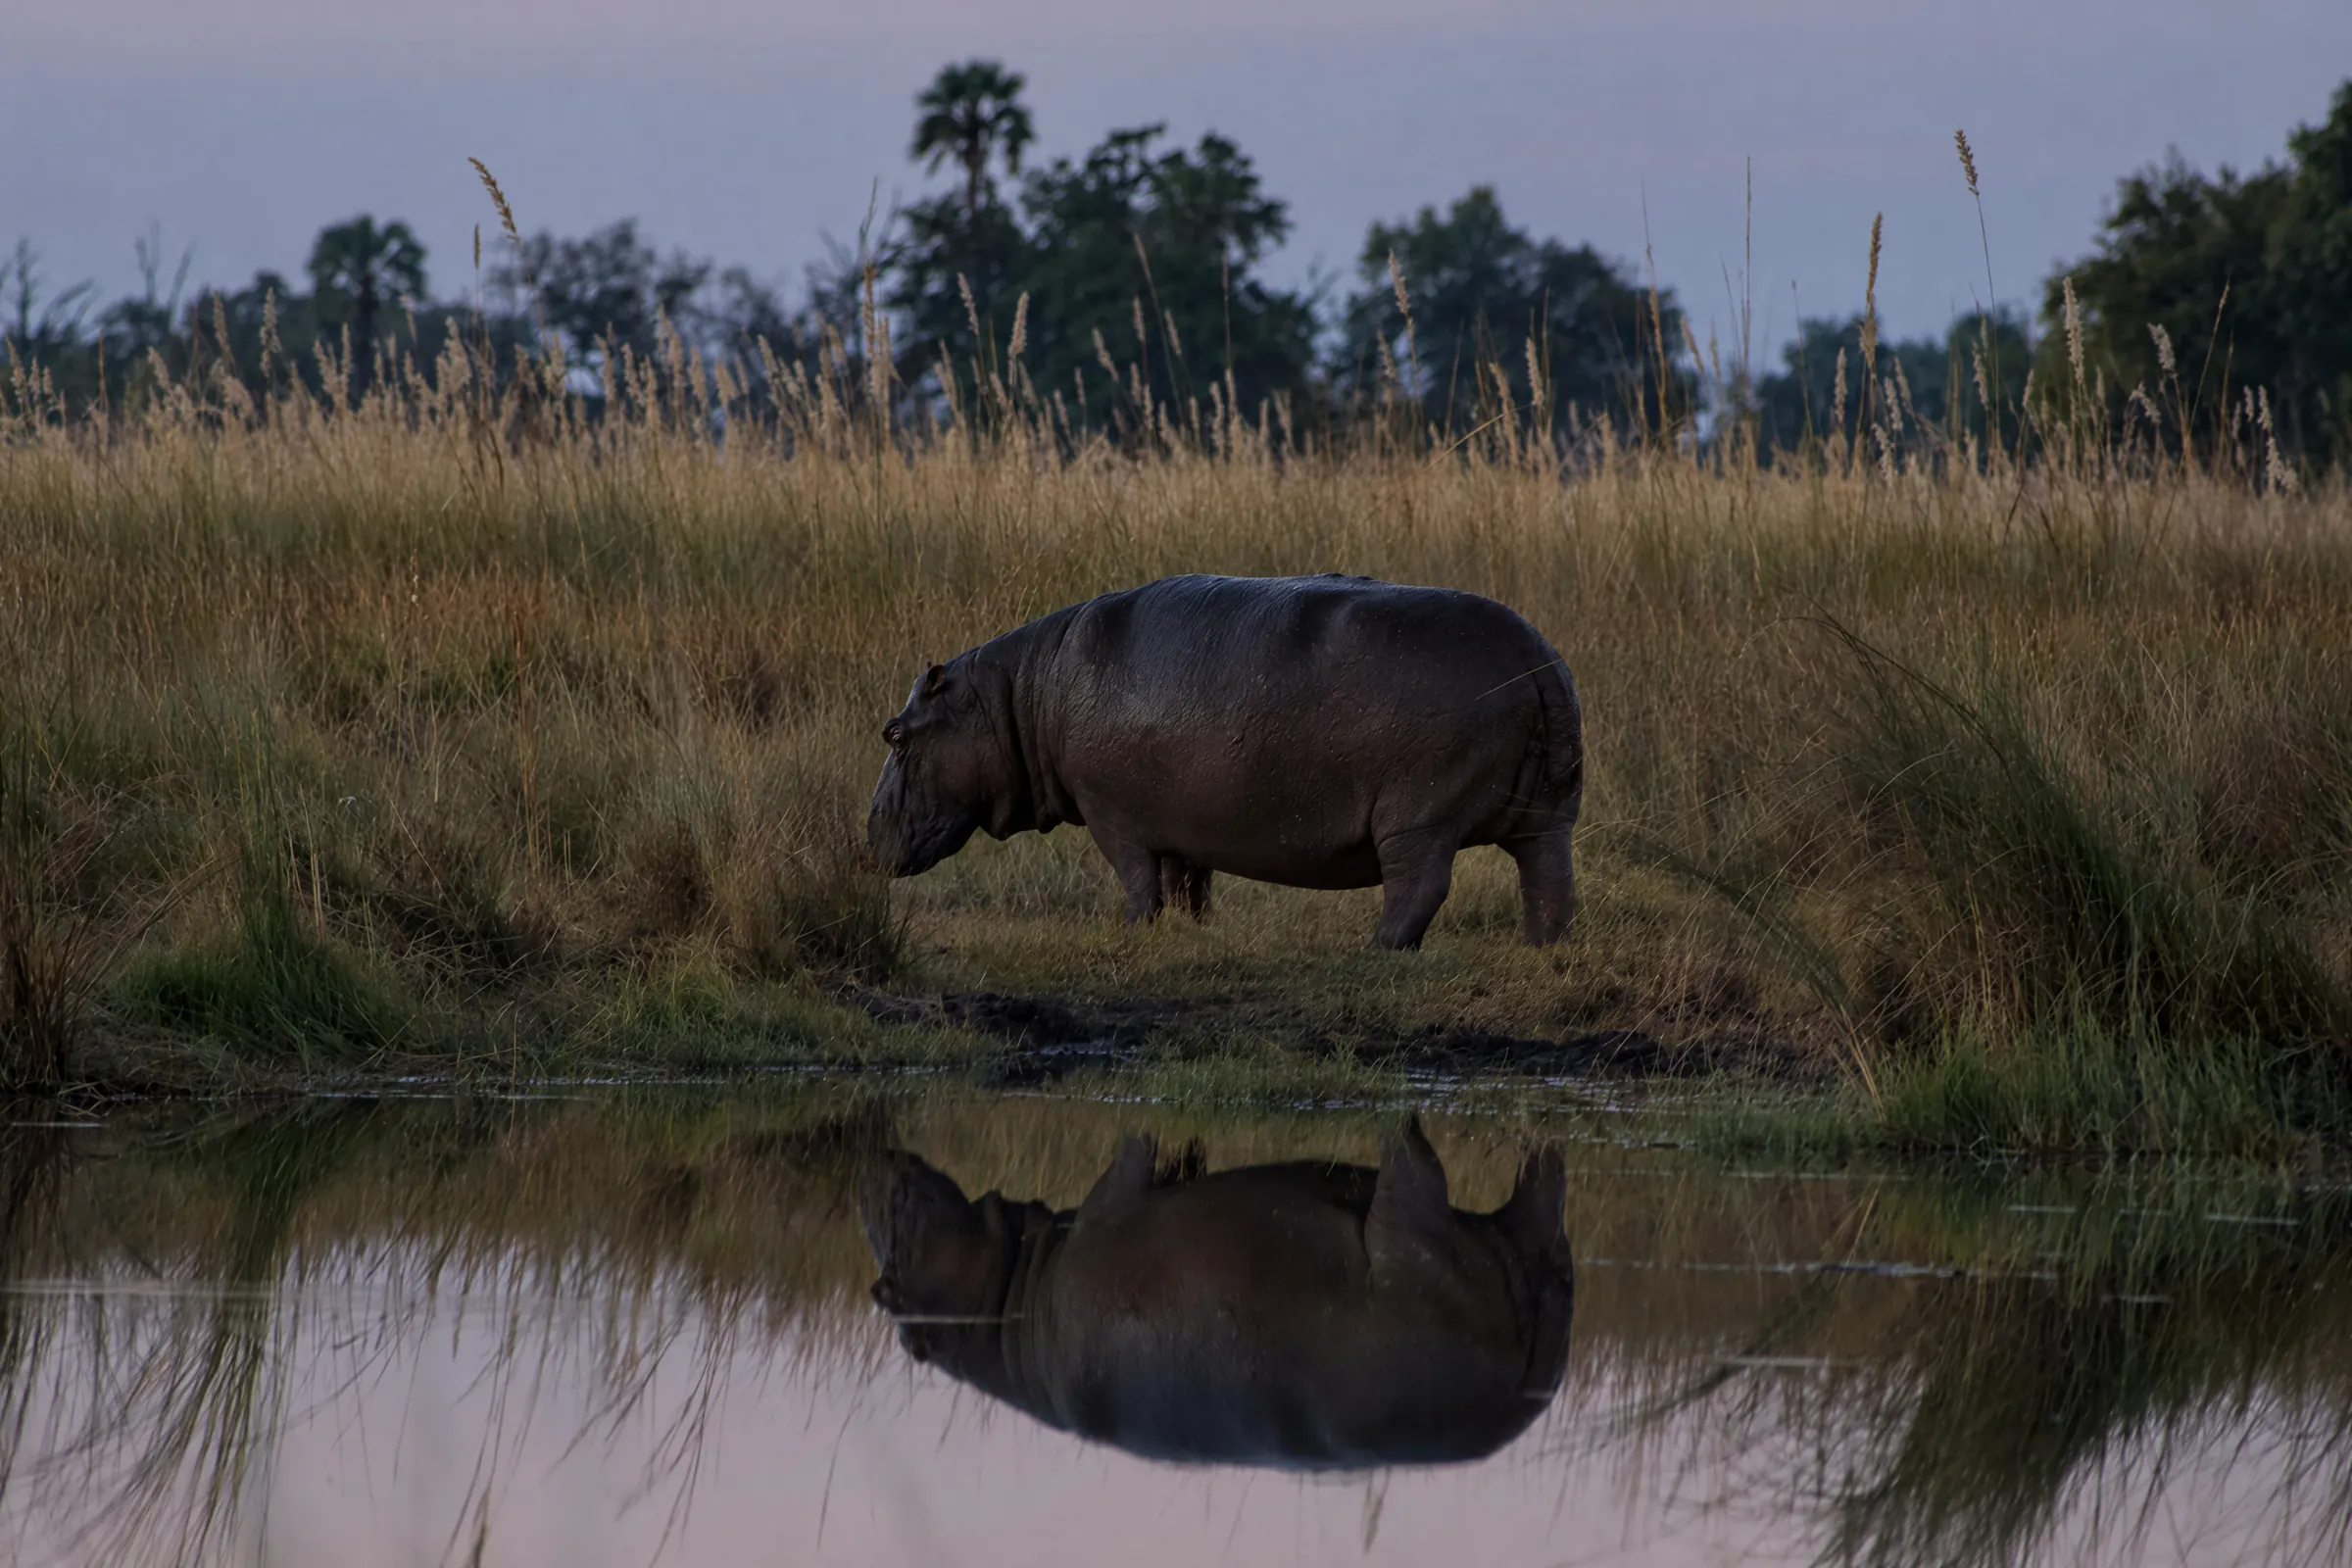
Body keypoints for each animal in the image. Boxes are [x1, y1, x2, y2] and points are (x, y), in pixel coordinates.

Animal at [858, 1119, 1574, 1468]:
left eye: (884, 1291)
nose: (875, 1164)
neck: (1009, 1302)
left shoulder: (1105, 1205)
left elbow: (1129, 1158)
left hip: (1413, 1245)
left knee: (1417, 1171)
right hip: (1512, 1245)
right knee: (1533, 1198)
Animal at [867, 573, 1582, 948]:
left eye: (894, 735)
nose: (865, 834)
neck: (1018, 694)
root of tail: (1538, 661)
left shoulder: (1112, 817)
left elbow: (1139, 881)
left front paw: (1130, 934)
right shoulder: (1176, 823)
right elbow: (1187, 882)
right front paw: (1194, 930)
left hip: (1417, 817)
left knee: (1419, 887)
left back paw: (1376, 949)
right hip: (1548, 815)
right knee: (1549, 879)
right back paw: (1542, 947)